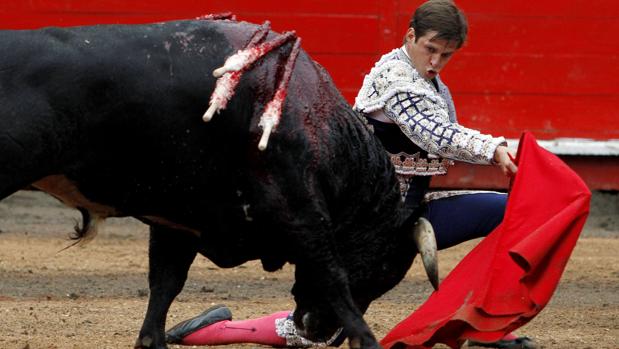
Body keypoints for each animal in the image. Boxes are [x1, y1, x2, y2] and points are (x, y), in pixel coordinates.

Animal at [0, 19, 436, 348]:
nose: (317, 330)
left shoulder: (177, 224)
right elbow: (333, 276)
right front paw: (366, 338)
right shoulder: (300, 210)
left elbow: (165, 284)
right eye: (383, 270)